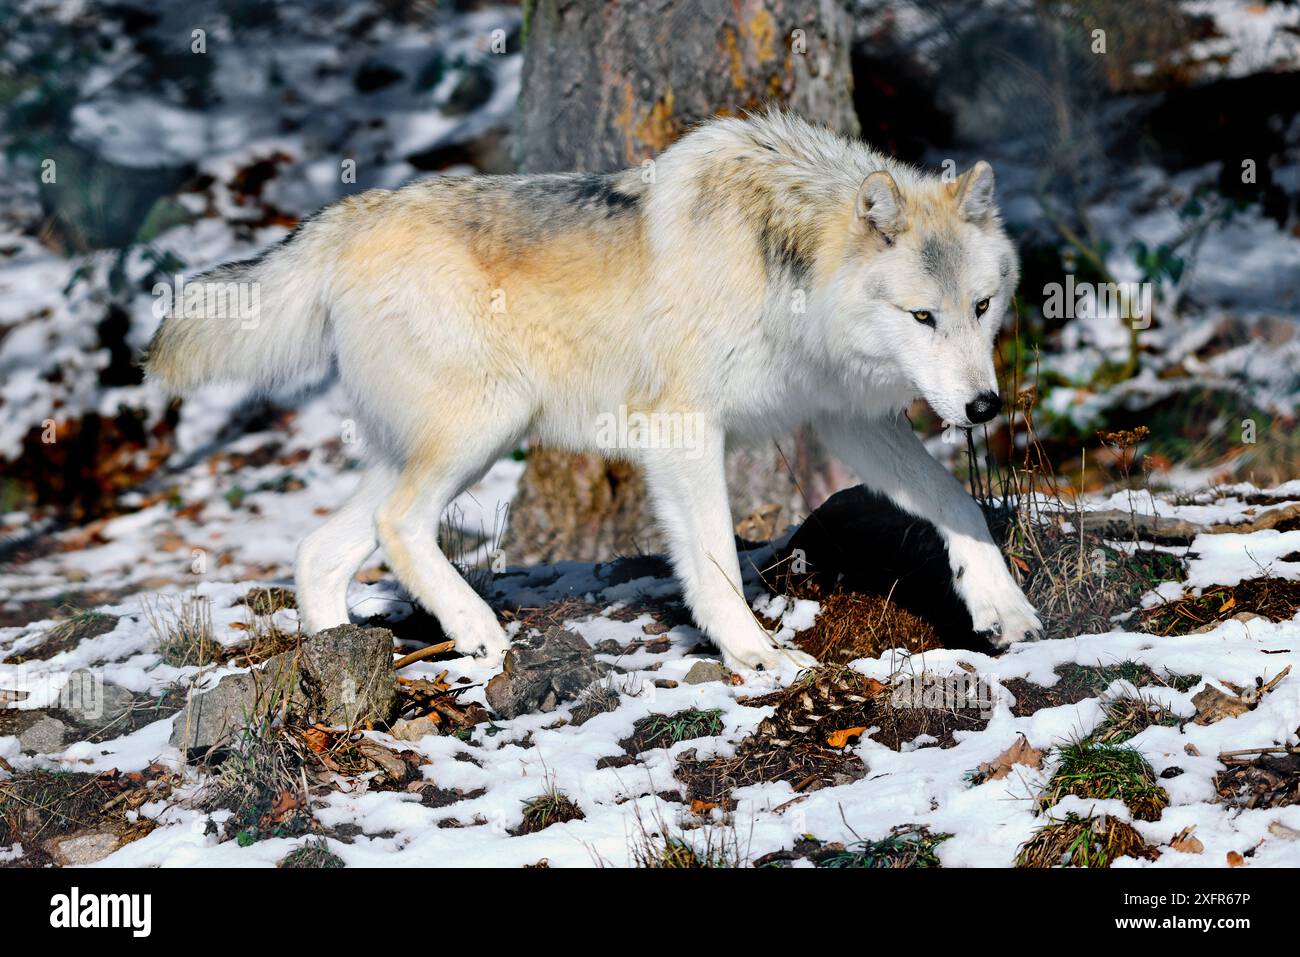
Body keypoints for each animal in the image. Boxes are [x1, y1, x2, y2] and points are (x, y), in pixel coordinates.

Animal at [147, 108, 1045, 670]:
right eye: (922, 315)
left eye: (980, 306)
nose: (982, 408)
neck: (784, 262)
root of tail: (349, 214)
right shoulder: (684, 431)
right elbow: (714, 560)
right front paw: (753, 652)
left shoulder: (844, 420)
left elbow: (957, 503)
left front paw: (1001, 606)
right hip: (485, 427)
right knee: (397, 524)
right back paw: (477, 632)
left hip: (431, 445)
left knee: (323, 549)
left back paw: (340, 661)